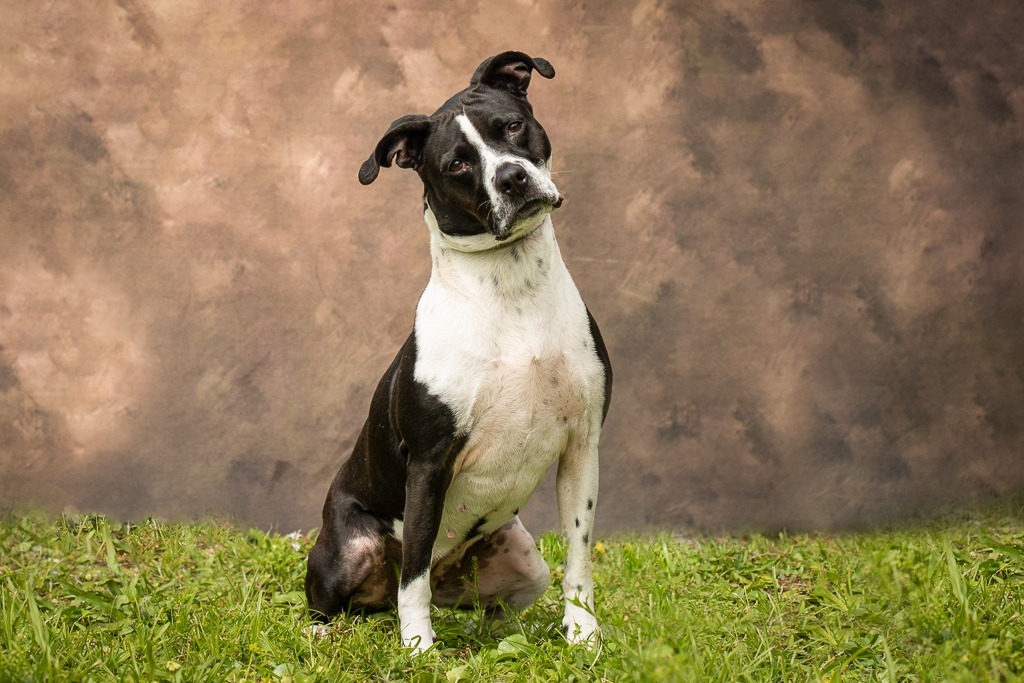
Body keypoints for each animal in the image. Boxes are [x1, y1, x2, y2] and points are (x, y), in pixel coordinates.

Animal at [301, 50, 606, 655]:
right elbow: (414, 571)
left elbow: (579, 557)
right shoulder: (429, 462)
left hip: (522, 562)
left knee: (484, 605)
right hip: (347, 552)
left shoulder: (583, 445)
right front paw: (418, 647)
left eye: (511, 127)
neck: (512, 289)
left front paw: (582, 632)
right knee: (350, 598)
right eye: (457, 164)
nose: (512, 177)